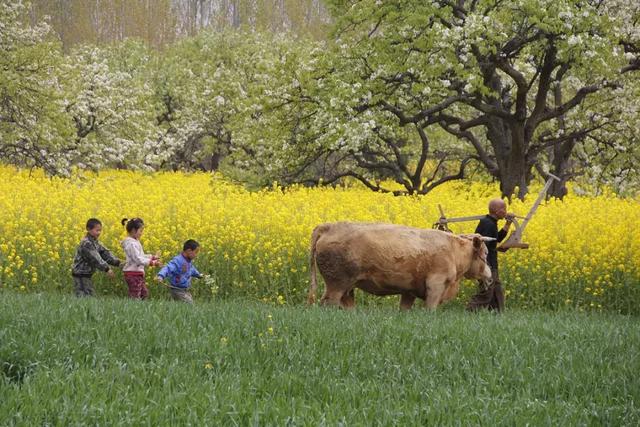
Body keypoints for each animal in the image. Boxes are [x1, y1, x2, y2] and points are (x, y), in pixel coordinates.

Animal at [308, 222, 492, 310]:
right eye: (486, 253)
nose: (490, 275)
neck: (453, 251)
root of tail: (328, 226)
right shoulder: (436, 286)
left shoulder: (409, 291)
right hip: (336, 285)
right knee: (328, 303)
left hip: (347, 288)